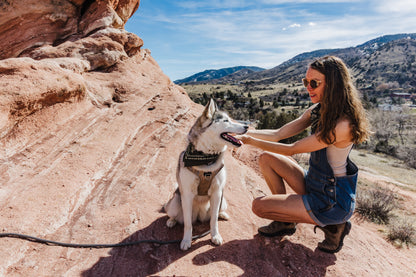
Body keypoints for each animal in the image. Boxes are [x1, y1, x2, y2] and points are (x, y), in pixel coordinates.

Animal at [164, 99, 247, 250]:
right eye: (226, 120)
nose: (247, 126)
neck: (206, 159)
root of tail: (199, 215)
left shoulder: (217, 193)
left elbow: (214, 220)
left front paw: (215, 236)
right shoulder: (187, 195)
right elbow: (188, 225)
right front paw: (186, 240)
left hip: (223, 201)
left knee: (217, 213)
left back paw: (223, 214)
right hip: (174, 203)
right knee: (175, 216)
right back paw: (171, 221)